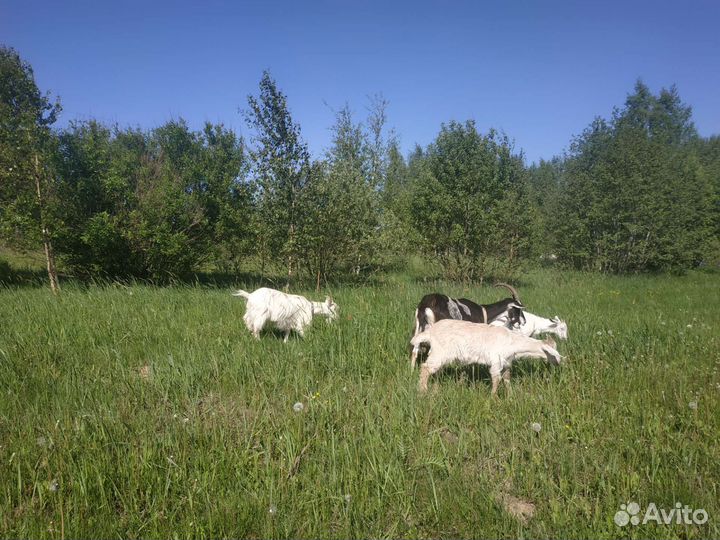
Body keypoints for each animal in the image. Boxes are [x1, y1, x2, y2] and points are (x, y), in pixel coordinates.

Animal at [410, 319, 562, 394]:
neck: (512, 342)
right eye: (552, 353)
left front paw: (510, 395)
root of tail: (430, 332)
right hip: (440, 352)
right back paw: (423, 390)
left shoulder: (506, 363)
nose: (559, 362)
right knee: (425, 368)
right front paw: (493, 398)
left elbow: (507, 379)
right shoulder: (496, 361)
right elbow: (496, 379)